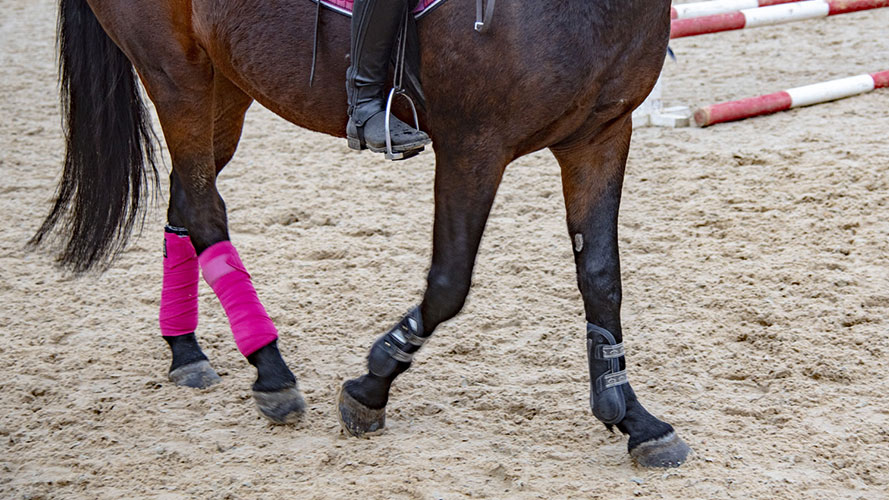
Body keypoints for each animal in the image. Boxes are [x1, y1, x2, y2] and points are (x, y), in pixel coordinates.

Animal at [33, 0, 688, 468]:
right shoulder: (474, 146)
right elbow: (449, 283)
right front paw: (371, 387)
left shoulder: (600, 136)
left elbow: (601, 278)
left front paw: (635, 419)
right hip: (176, 73)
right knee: (203, 208)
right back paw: (270, 371)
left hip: (226, 82)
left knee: (185, 202)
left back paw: (185, 350)